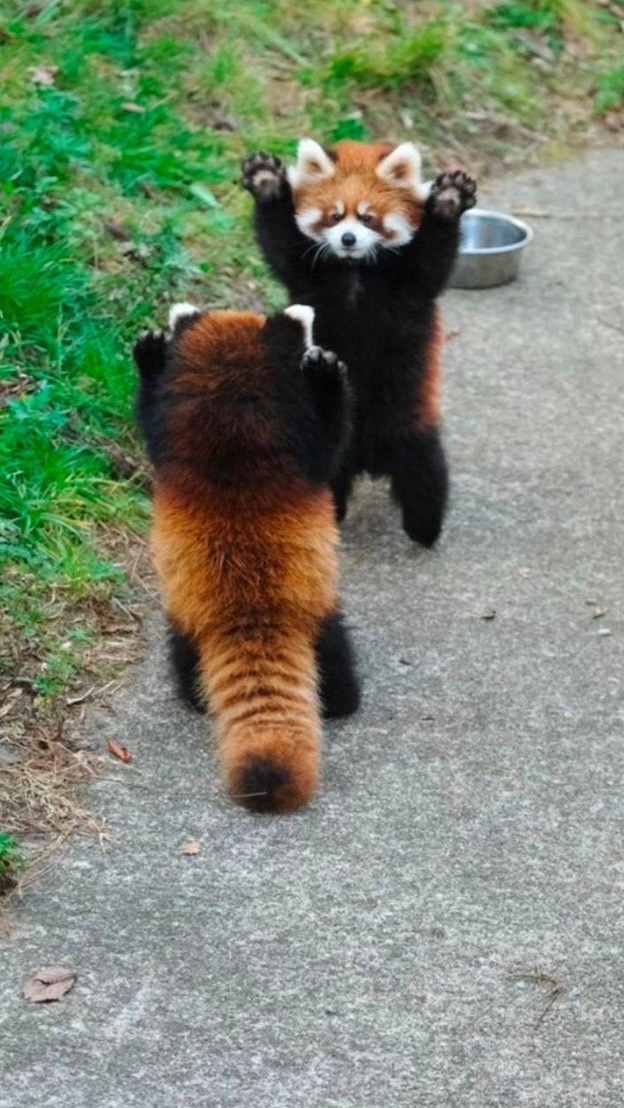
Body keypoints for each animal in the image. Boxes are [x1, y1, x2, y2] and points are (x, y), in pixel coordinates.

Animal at [134, 303, 363, 815]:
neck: (231, 439)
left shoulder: (179, 444)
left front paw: (150, 353)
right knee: (338, 666)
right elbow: (333, 443)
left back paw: (196, 697)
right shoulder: (303, 450)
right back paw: (343, 697)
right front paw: (328, 375)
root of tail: (249, 611)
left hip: (186, 620)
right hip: (320, 614)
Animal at [241, 140, 476, 547]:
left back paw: (424, 529)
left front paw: (449, 200)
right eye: (334, 217)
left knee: (427, 476)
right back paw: (330, 516)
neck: (355, 270)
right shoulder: (307, 274)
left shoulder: (412, 283)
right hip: (327, 441)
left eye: (368, 218)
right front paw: (267, 181)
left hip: (412, 428)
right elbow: (278, 241)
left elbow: (436, 255)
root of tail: (369, 458)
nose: (348, 240)